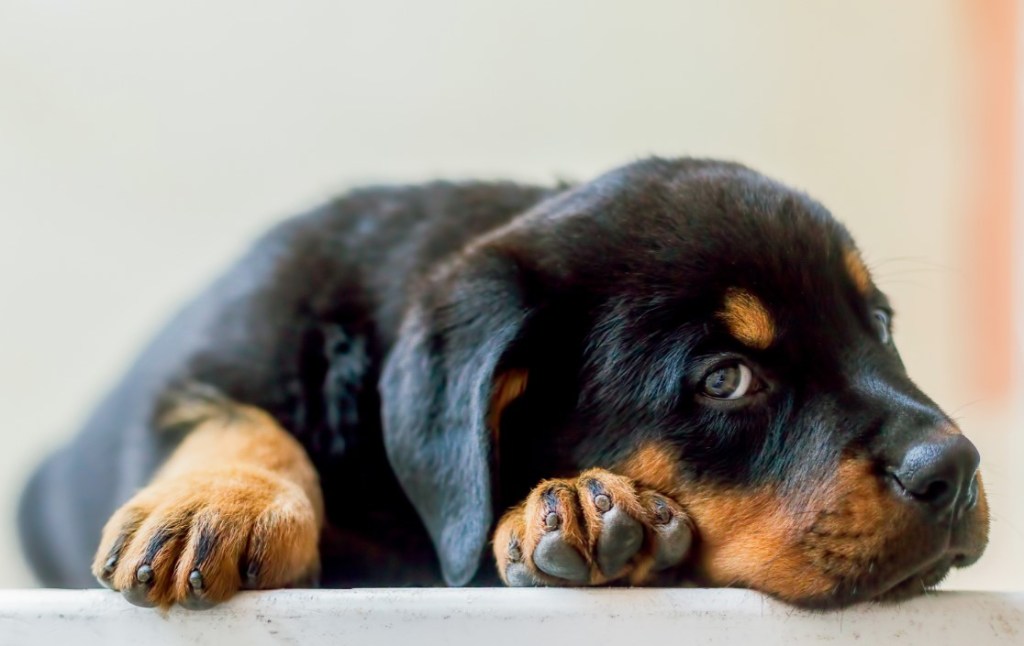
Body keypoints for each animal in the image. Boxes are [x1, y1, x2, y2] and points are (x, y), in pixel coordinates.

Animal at [19, 157, 987, 610]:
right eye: (725, 378)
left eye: (881, 327)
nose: (958, 468)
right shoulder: (219, 354)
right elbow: (238, 416)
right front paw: (221, 504)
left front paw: (585, 507)